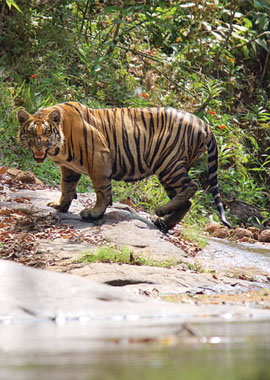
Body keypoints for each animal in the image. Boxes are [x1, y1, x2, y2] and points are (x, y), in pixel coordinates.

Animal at [17, 101, 230, 232]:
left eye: (46, 132)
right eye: (31, 132)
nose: (39, 146)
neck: (58, 148)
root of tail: (204, 124)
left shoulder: (99, 157)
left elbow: (102, 190)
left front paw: (94, 213)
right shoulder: (69, 168)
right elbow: (67, 187)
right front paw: (60, 206)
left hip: (168, 163)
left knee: (191, 186)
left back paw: (160, 211)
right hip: (170, 169)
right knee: (187, 201)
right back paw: (163, 222)